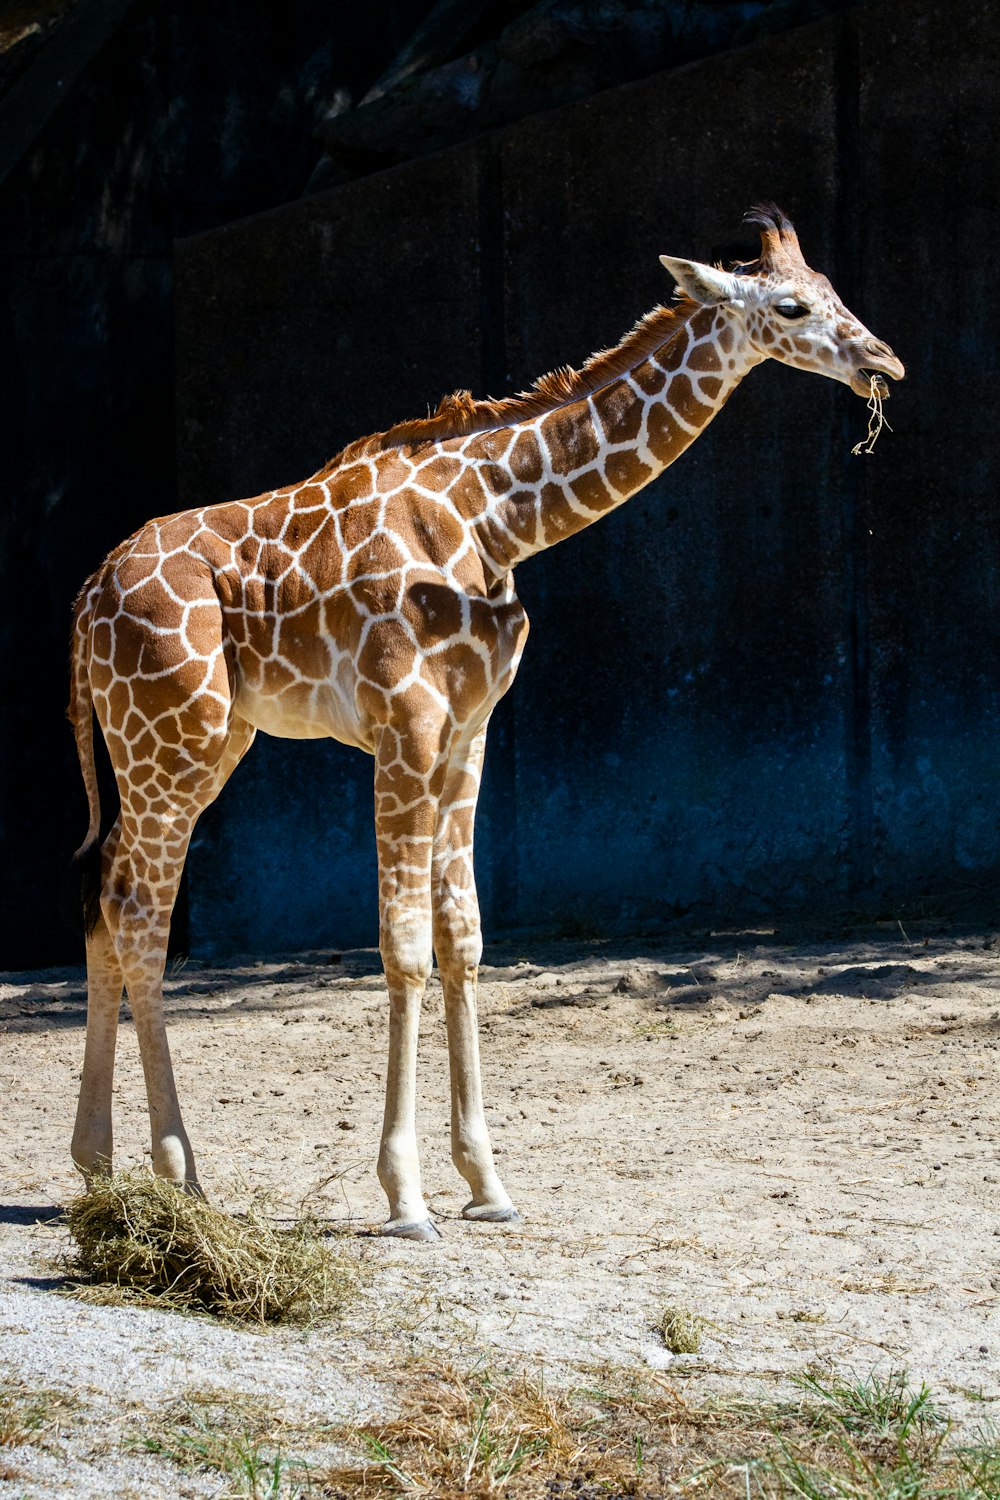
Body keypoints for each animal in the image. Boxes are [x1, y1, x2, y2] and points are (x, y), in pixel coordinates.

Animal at [66, 211, 905, 1242]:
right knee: (142, 920)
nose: (885, 364)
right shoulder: (404, 727)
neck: (500, 518)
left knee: (108, 902)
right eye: (790, 306)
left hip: (198, 743)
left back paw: (98, 1169)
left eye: (832, 290)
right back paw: (181, 1180)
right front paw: (406, 1197)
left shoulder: (468, 735)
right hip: (171, 736)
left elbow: (464, 940)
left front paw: (487, 1183)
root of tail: (87, 596)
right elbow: (404, 948)